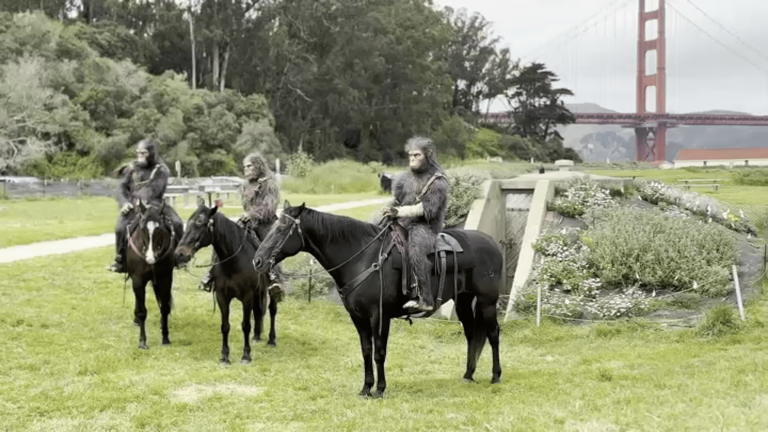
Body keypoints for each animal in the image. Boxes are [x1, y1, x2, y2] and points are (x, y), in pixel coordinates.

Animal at [175, 198, 280, 364]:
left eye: (199, 223)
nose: (179, 254)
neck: (234, 262)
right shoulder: (222, 297)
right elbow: (225, 326)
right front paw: (225, 356)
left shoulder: (247, 297)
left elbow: (245, 325)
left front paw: (246, 355)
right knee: (258, 311)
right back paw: (257, 337)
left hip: (269, 290)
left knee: (272, 310)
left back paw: (271, 339)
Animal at [252, 201, 504, 396]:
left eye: (282, 229)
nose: (258, 261)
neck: (363, 257)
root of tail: (493, 243)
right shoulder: (358, 317)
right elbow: (366, 351)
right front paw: (366, 388)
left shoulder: (379, 316)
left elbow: (379, 352)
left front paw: (380, 389)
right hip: (464, 301)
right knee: (472, 335)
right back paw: (468, 374)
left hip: (487, 301)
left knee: (493, 334)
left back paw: (495, 376)